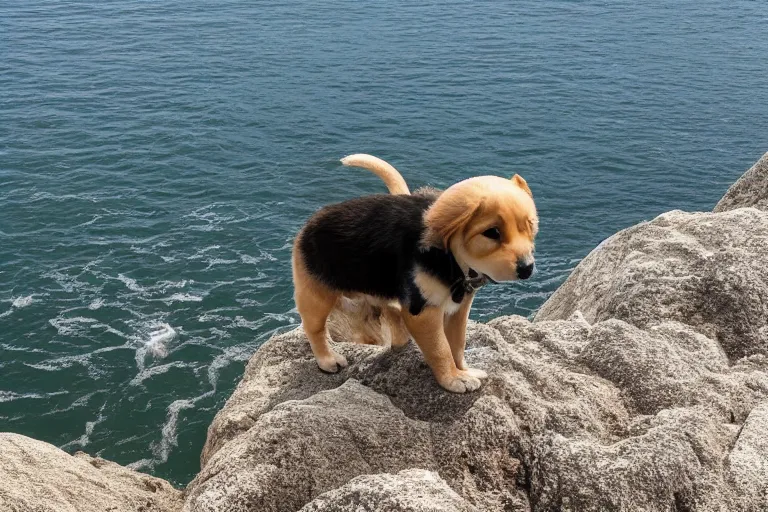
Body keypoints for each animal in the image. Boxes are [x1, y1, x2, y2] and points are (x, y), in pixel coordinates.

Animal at [292, 153, 536, 392]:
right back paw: (327, 359)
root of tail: (312, 221)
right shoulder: (423, 312)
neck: (450, 259)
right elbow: (440, 348)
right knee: (315, 329)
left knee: (390, 311)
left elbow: (457, 343)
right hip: (315, 295)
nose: (527, 268)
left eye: (530, 226)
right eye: (492, 233)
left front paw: (463, 371)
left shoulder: (459, 309)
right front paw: (453, 379)